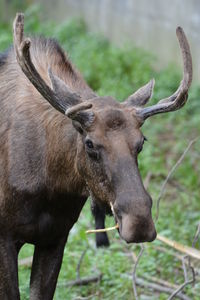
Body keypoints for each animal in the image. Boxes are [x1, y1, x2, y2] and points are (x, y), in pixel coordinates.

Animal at [0, 13, 192, 300]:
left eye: (141, 142)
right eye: (89, 143)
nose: (139, 222)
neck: (51, 182)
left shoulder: (56, 236)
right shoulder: (5, 237)